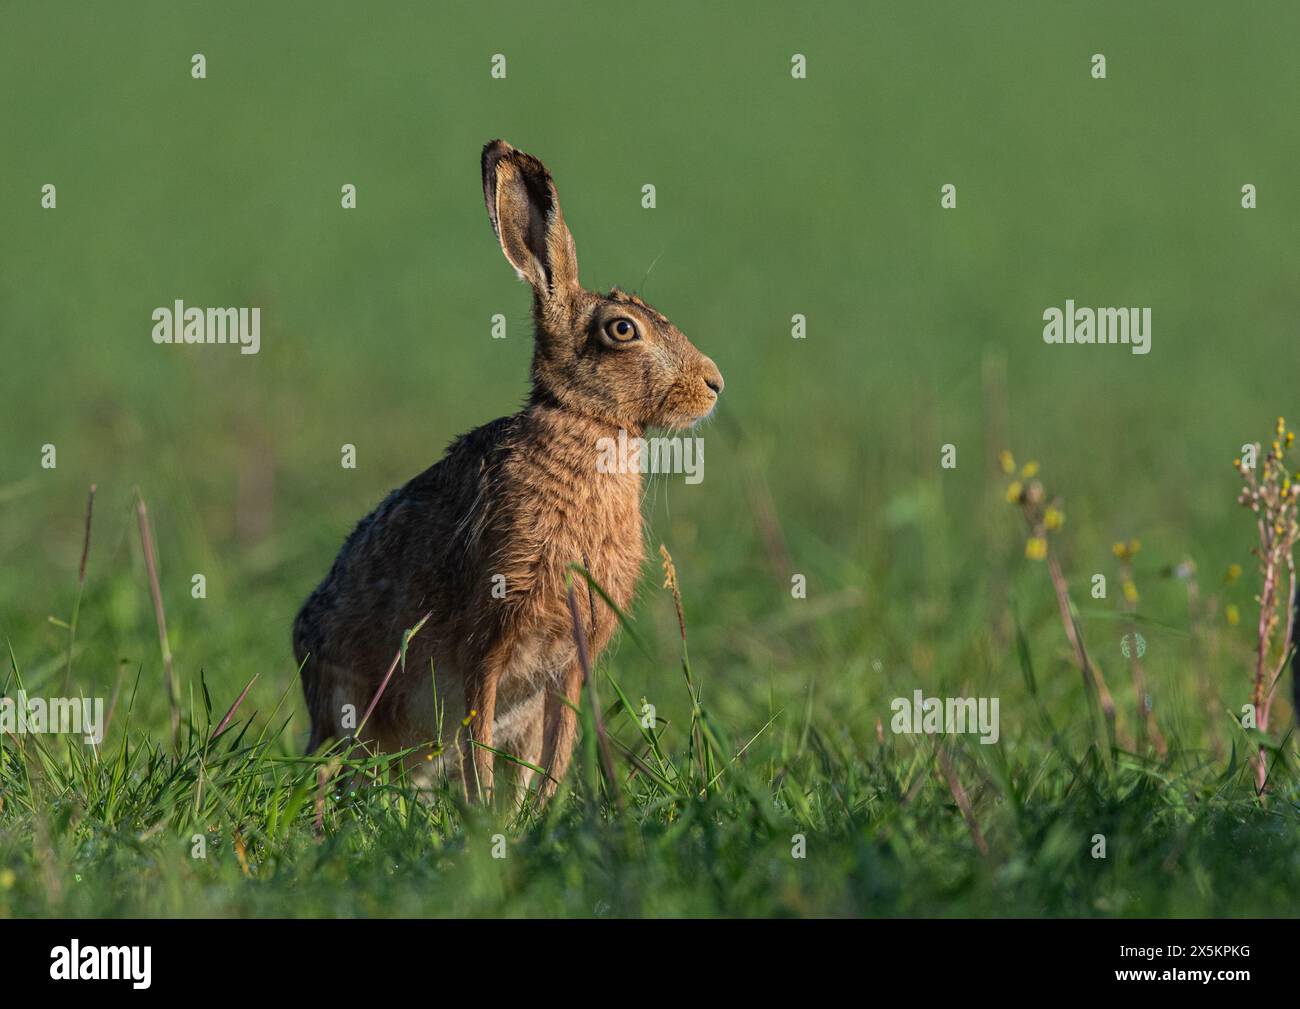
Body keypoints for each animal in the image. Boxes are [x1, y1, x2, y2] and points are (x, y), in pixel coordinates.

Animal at [293, 139, 724, 803]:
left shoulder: (568, 665)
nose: (714, 384)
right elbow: (480, 743)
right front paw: (483, 812)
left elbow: (557, 751)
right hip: (348, 705)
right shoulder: (487, 641)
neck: (583, 424)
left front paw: (533, 814)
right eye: (622, 329)